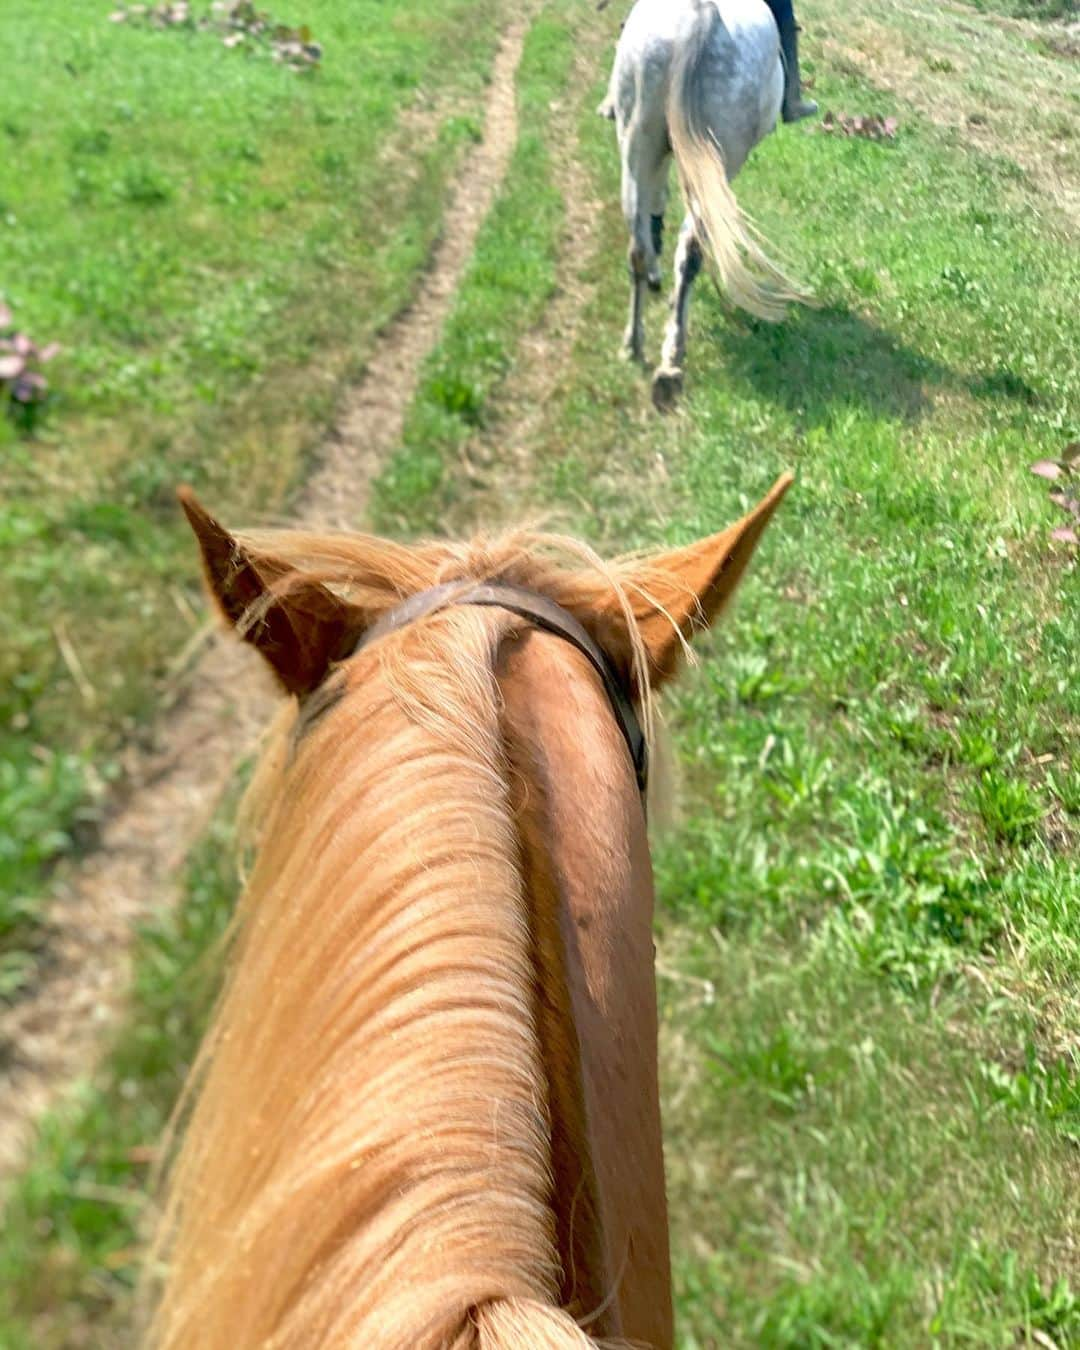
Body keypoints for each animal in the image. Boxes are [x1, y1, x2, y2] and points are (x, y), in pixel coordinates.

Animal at [602, 1, 804, 410]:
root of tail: (701, 15)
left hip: (638, 142)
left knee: (639, 244)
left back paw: (636, 344)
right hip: (716, 161)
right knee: (691, 249)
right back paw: (671, 357)